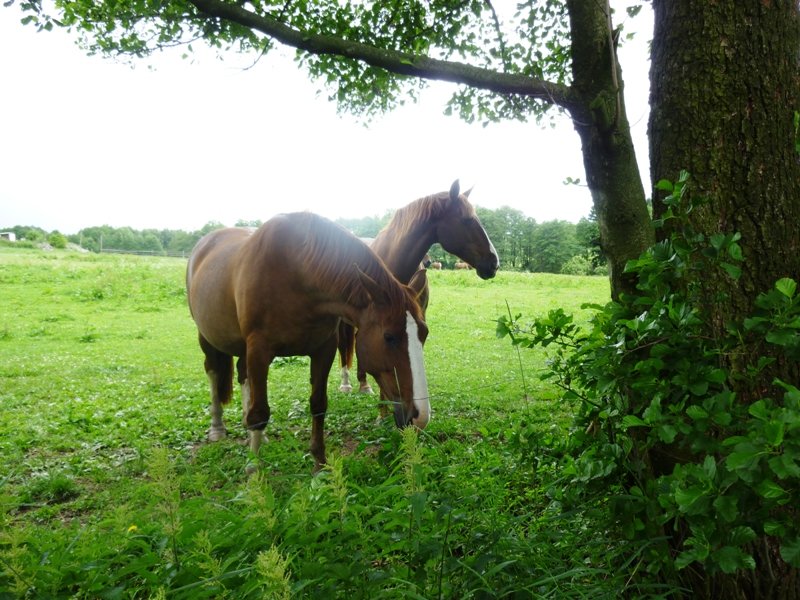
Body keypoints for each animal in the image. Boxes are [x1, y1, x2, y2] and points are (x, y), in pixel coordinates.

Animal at [186, 213, 432, 472]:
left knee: (243, 376)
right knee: (213, 372)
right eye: (389, 337)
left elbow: (318, 404)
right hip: (208, 337)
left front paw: (319, 463)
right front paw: (254, 471)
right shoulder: (259, 350)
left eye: (424, 334)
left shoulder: (323, 349)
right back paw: (217, 427)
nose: (420, 416)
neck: (297, 272)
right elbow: (260, 412)